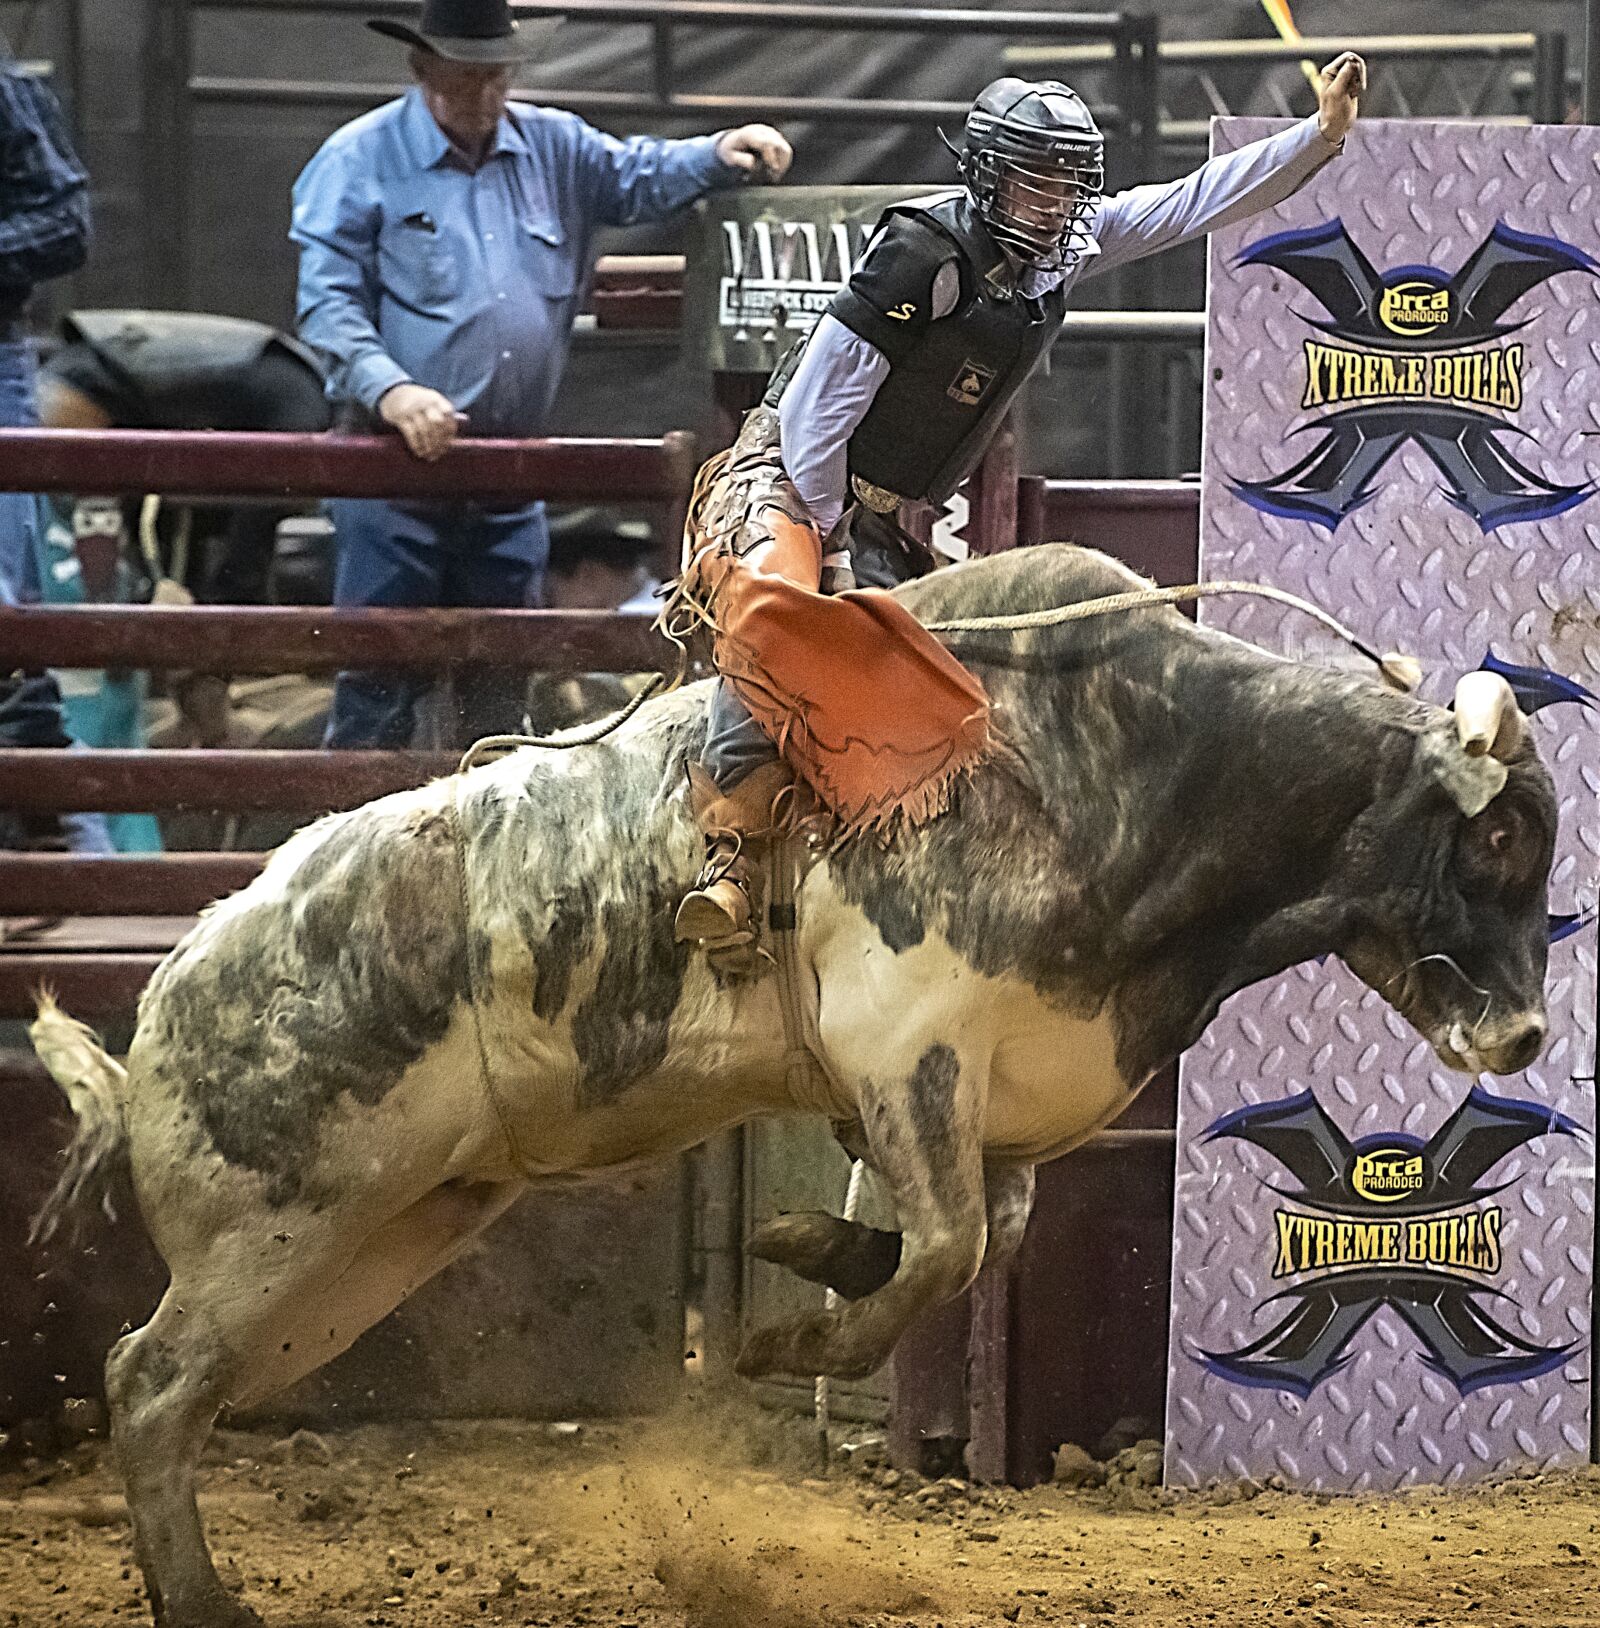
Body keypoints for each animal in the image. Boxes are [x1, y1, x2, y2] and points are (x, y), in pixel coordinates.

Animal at [31, 543, 1556, 1614]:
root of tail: (154, 1014)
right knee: (151, 1382)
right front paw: (774, 1343)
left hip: (370, 1241)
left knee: (188, 1387)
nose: (1528, 1039)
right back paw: (204, 1602)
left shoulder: (995, 1098)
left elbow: (980, 1235)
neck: (1137, 763)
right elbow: (943, 1249)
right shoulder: (908, 1044)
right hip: (272, 1225)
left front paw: (798, 1245)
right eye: (1493, 843)